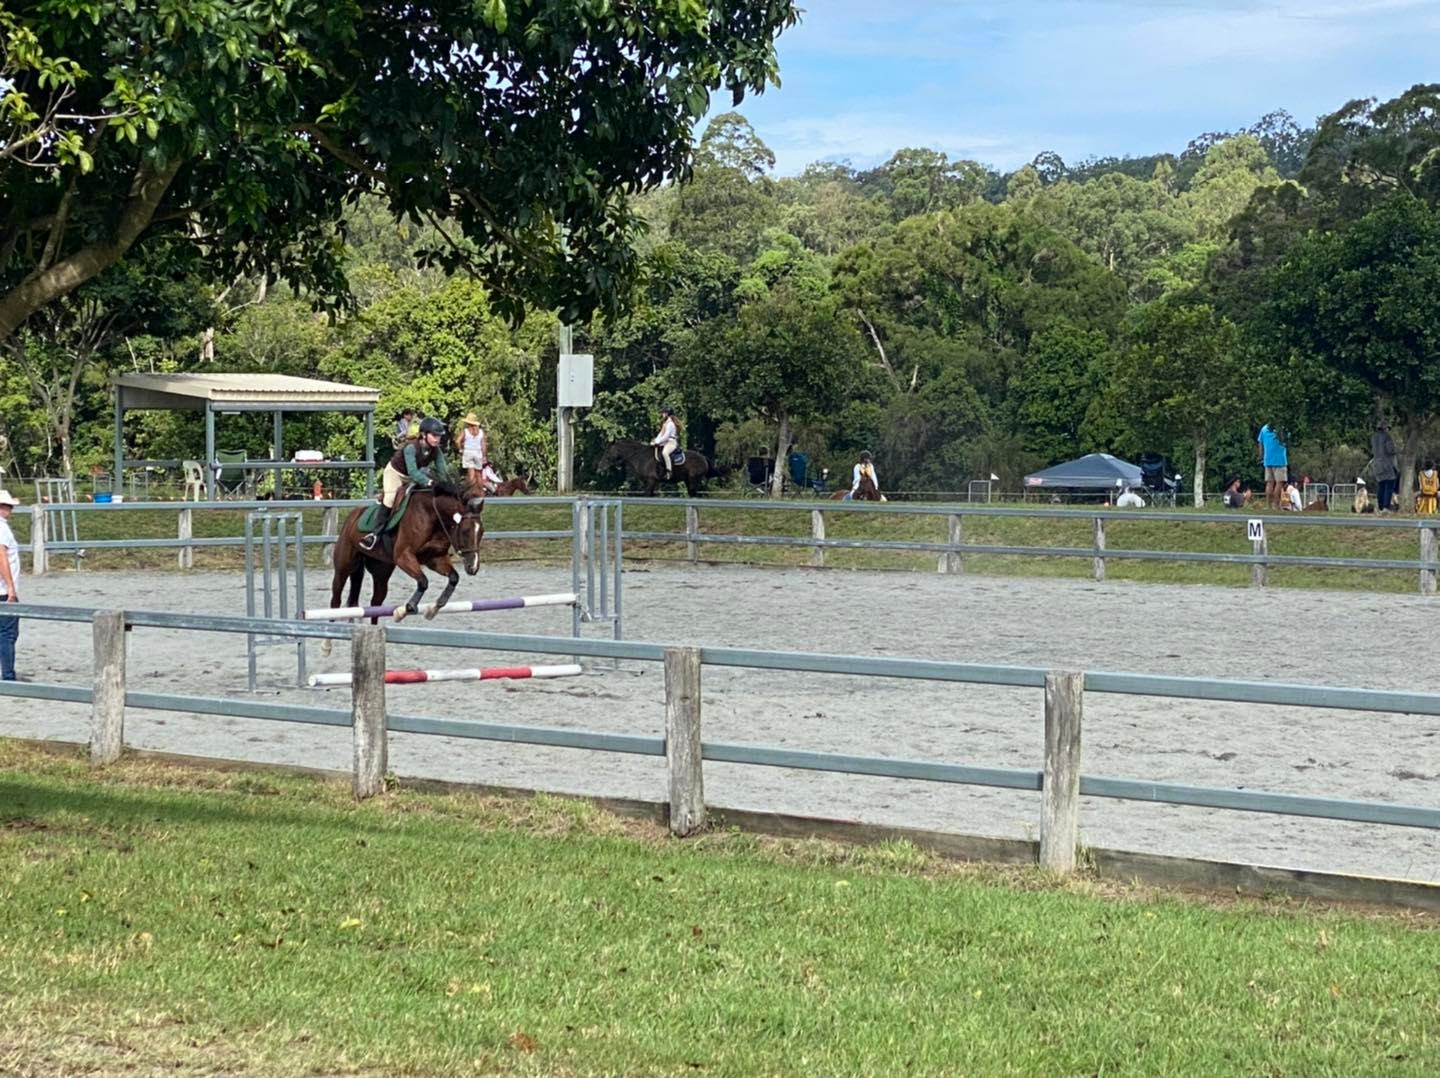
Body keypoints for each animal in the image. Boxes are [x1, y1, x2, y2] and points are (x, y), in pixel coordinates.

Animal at [325, 474, 483, 627]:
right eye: (465, 531)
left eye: (481, 532)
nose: (473, 567)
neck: (432, 516)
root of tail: (353, 516)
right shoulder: (404, 557)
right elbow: (423, 581)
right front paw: (405, 610)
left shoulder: (435, 559)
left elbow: (454, 577)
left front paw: (433, 608)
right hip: (344, 567)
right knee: (335, 601)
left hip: (381, 573)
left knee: (376, 604)